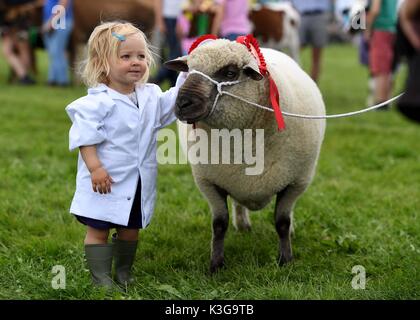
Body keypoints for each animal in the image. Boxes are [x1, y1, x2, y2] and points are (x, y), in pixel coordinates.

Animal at [164, 37, 324, 272]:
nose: (182, 104)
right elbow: (219, 225)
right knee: (238, 203)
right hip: (232, 177)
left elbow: (282, 222)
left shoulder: (296, 182)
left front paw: (285, 260)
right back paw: (242, 225)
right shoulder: (209, 182)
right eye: (189, 70)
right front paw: (216, 265)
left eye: (230, 73)